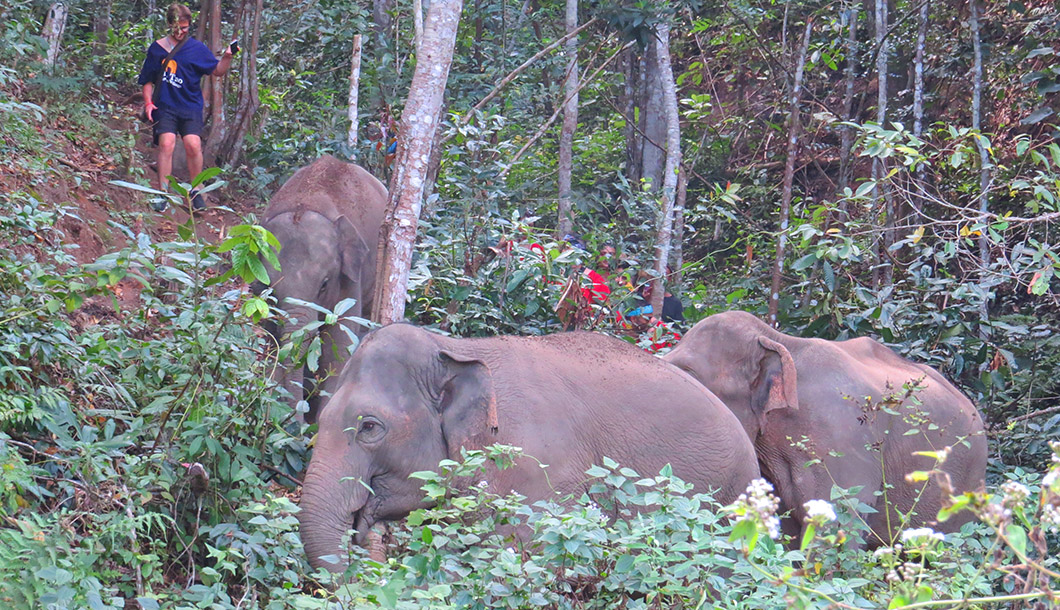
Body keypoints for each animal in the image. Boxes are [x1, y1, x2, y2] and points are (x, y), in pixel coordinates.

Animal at [256, 155, 390, 424]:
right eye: (271, 291)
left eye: (324, 284)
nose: (294, 425)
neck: (305, 205)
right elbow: (272, 341)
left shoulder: (349, 279)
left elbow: (337, 347)